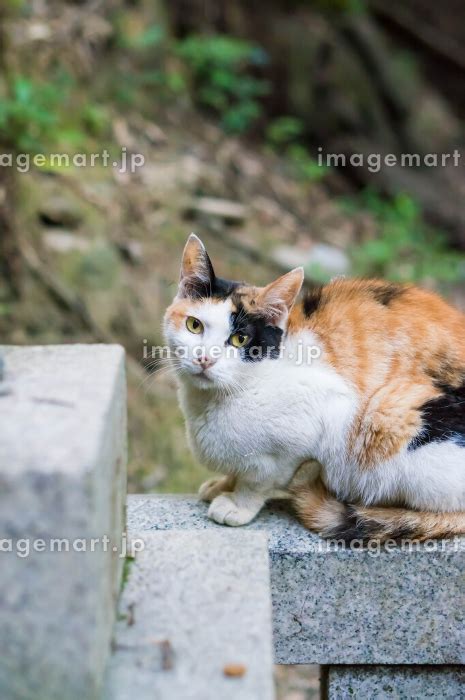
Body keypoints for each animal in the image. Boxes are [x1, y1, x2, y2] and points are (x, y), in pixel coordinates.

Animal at [163, 235, 464, 540]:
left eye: (239, 339)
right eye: (194, 325)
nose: (204, 359)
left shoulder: (319, 419)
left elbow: (259, 481)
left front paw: (238, 505)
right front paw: (223, 485)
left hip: (389, 414)